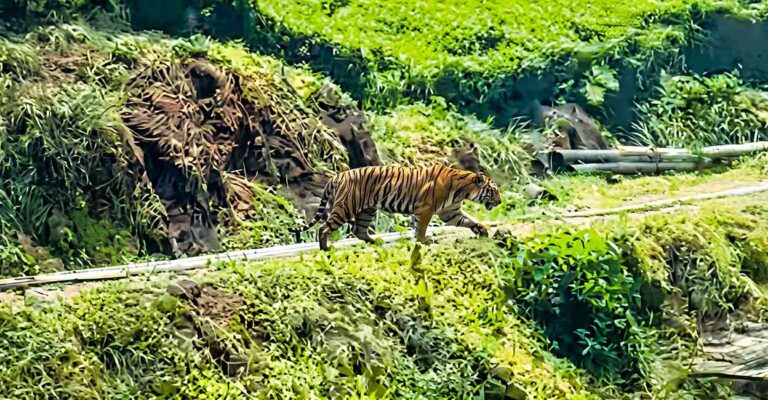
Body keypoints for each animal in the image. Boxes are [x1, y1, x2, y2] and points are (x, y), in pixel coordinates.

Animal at [291, 165, 502, 250]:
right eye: (493, 191)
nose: (500, 202)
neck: (463, 190)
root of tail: (337, 176)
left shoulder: (450, 212)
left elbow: (469, 220)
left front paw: (482, 230)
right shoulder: (426, 209)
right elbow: (421, 227)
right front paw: (424, 240)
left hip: (367, 210)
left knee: (359, 230)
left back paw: (375, 241)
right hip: (346, 207)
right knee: (324, 227)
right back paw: (325, 248)